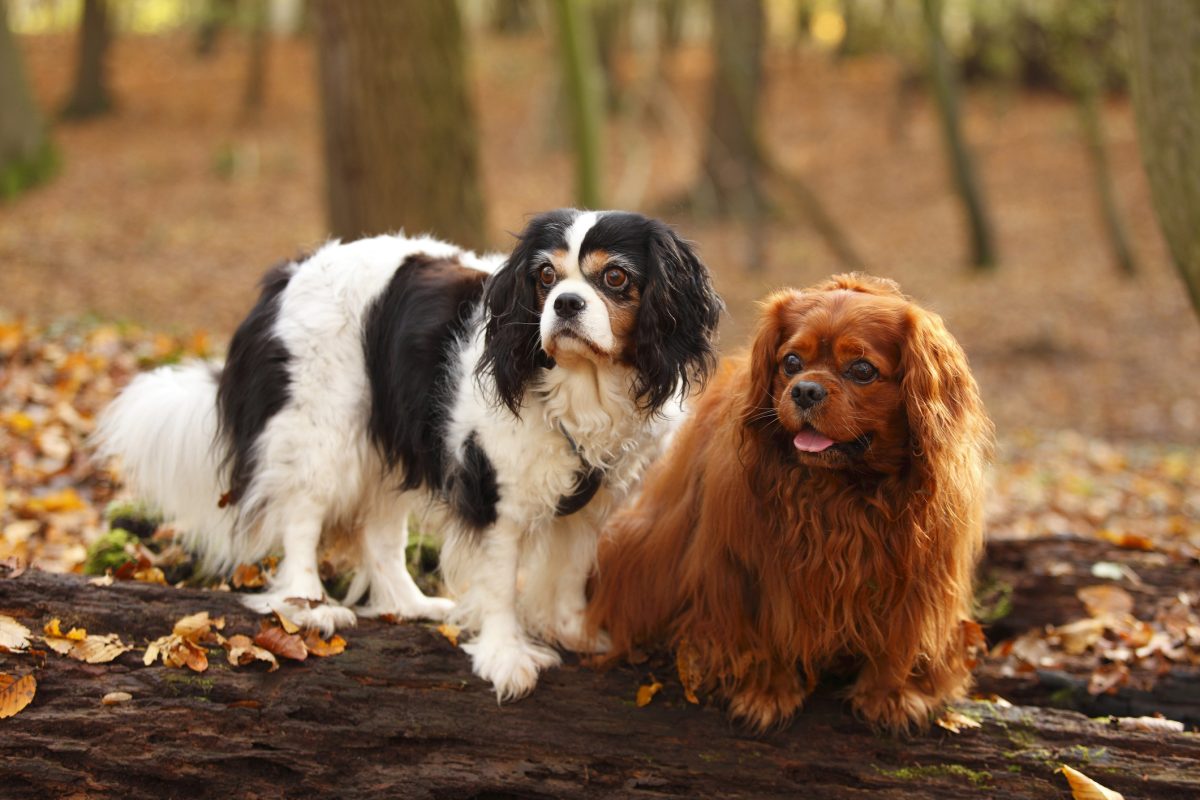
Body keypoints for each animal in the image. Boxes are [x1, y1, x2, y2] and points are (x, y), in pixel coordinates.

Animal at [96, 209, 720, 695]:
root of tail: (287, 277)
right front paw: (506, 656)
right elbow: (500, 581)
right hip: (322, 429)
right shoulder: (493, 493)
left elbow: (572, 569)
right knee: (301, 517)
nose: (565, 304)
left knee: (380, 535)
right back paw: (308, 604)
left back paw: (409, 604)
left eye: (615, 277)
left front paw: (574, 629)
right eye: (545, 276)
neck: (582, 386)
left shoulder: (594, 501)